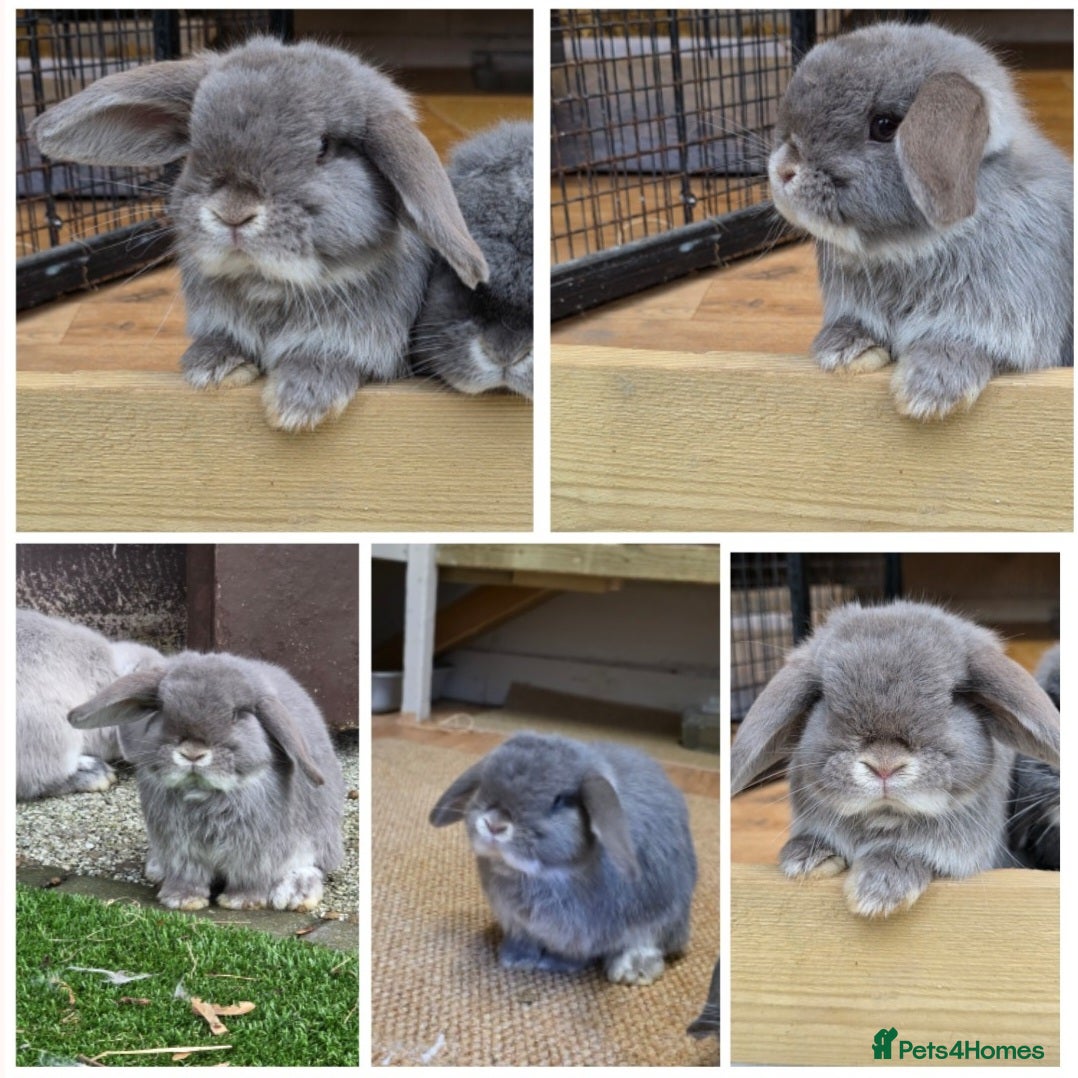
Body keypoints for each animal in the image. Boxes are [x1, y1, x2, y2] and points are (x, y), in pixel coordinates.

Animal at [30, 36, 488, 432]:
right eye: (194, 144)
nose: (232, 212)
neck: (268, 286)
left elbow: (328, 358)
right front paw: (211, 369)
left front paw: (297, 404)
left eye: (324, 148)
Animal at [68, 650, 345, 912]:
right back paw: (156, 869)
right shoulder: (182, 852)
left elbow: (251, 881)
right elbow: (188, 877)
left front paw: (240, 902)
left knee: (315, 866)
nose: (192, 753)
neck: (203, 794)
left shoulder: (255, 855)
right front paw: (181, 900)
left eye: (236, 714)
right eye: (163, 709)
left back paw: (296, 894)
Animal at [430, 732, 697, 985]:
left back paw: (633, 971)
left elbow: (573, 954)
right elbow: (525, 941)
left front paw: (555, 964)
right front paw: (515, 959)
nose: (494, 824)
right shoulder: (520, 924)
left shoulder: (582, 935)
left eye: (560, 801)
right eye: (484, 784)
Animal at [731, 601, 1060, 918]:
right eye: (824, 697)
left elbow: (907, 854)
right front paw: (804, 860)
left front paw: (876, 893)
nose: (884, 766)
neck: (883, 819)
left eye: (954, 697)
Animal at [768, 22, 1073, 420]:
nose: (783, 171)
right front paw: (843, 351)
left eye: (884, 126)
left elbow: (964, 345)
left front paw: (925, 393)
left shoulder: (1004, 320)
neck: (909, 248)